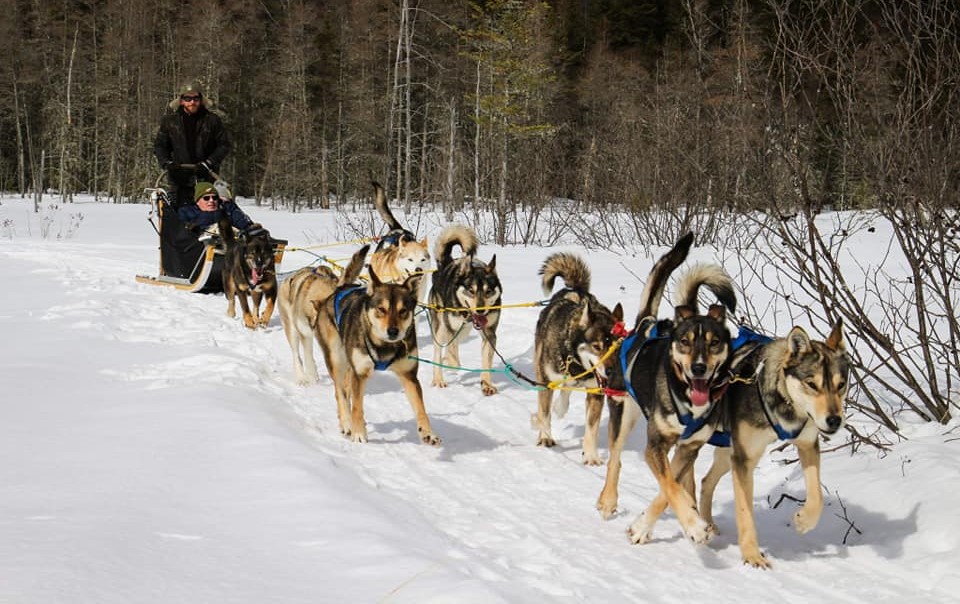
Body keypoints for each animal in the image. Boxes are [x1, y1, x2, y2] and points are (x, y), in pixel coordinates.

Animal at [312, 243, 438, 446]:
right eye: (381, 309)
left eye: (403, 311)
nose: (393, 332)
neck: (384, 346)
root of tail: (339, 290)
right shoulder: (360, 374)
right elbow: (357, 406)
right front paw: (358, 433)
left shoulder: (409, 375)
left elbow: (420, 407)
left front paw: (427, 432)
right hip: (337, 360)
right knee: (340, 393)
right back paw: (347, 423)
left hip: (349, 367)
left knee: (345, 391)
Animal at [428, 225, 502, 396]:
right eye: (471, 290)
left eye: (488, 291)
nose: (480, 310)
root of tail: (446, 263)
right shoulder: (450, 329)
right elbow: (452, 356)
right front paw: (451, 364)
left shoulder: (489, 333)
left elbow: (486, 362)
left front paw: (486, 384)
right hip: (440, 328)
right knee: (438, 351)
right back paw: (438, 379)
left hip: (463, 332)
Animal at [532, 252, 624, 464]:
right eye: (597, 347)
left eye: (616, 348)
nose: (612, 372)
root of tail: (576, 291)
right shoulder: (546, 381)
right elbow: (544, 413)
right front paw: (545, 437)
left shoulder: (595, 392)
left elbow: (592, 428)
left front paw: (591, 456)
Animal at [696, 318, 848, 568]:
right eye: (811, 384)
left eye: (841, 384)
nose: (834, 420)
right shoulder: (745, 460)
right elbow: (745, 512)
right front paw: (752, 556)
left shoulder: (807, 445)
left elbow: (817, 495)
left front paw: (803, 521)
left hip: (728, 453)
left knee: (706, 481)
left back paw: (707, 523)